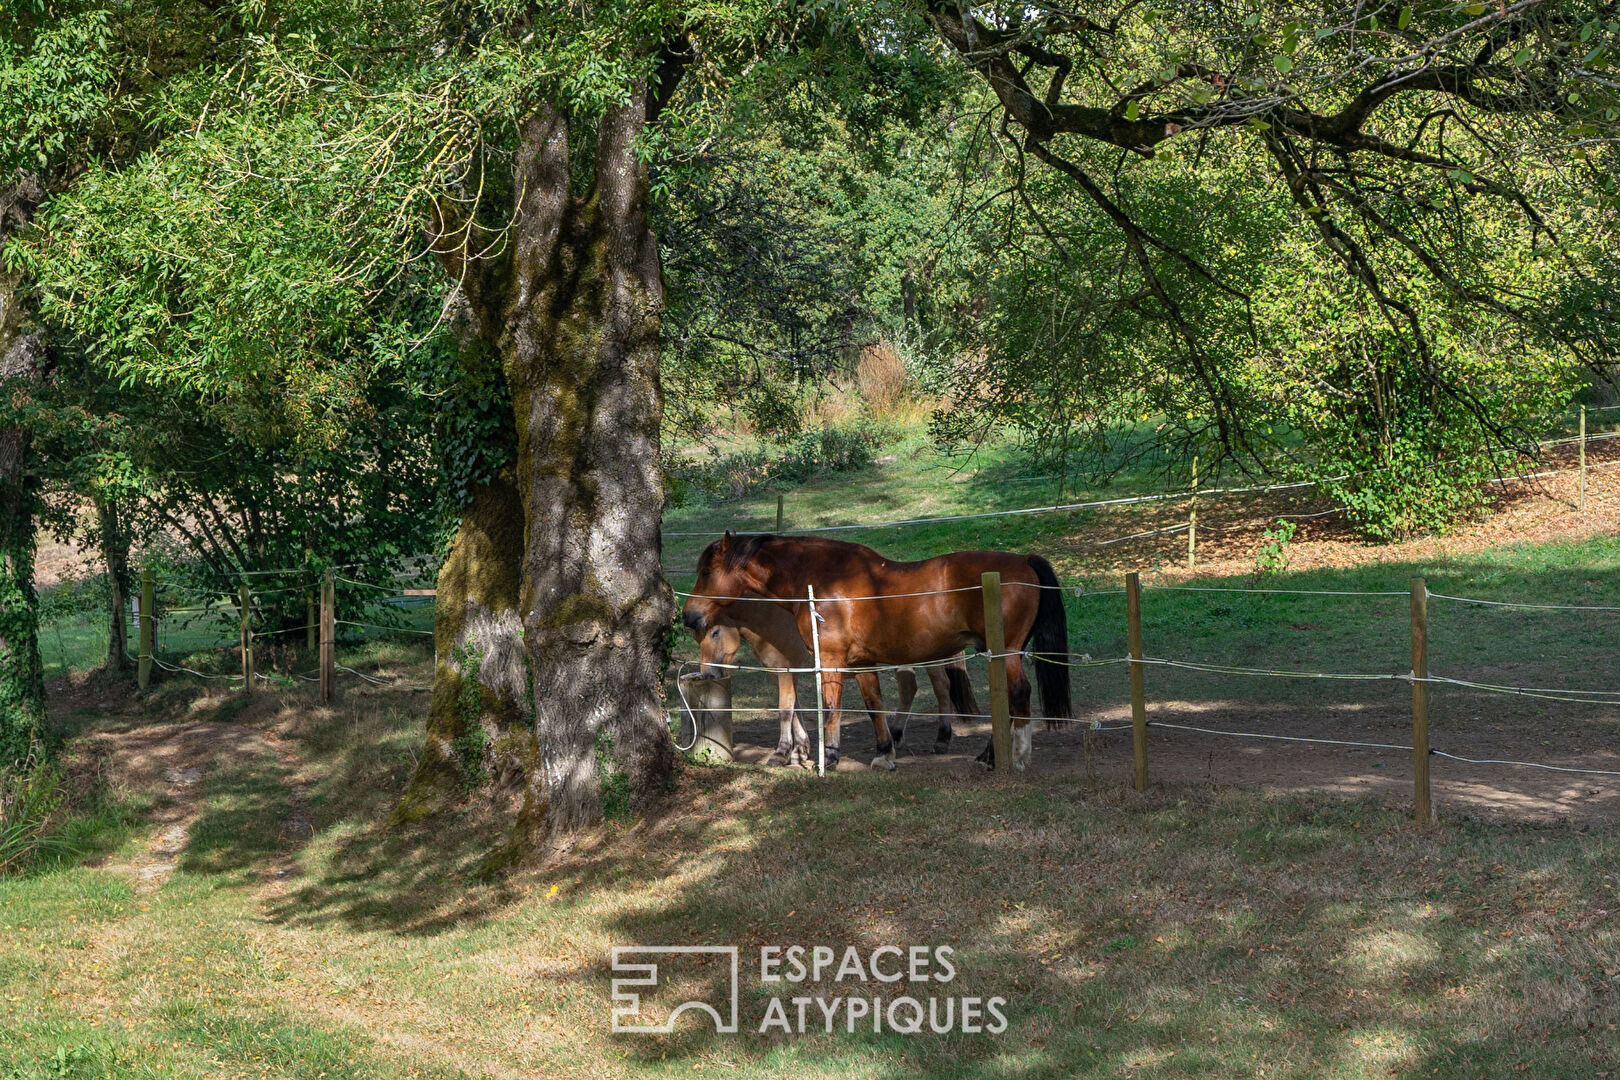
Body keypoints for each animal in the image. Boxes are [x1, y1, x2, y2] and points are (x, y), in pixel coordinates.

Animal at [683, 531, 1075, 767]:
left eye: (706, 571)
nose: (689, 615)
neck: (821, 581)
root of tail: (1024, 561)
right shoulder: (861, 664)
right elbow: (874, 706)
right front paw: (885, 753)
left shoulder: (830, 661)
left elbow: (829, 708)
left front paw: (829, 757)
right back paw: (989, 755)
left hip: (1004, 653)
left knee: (1018, 695)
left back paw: (1017, 756)